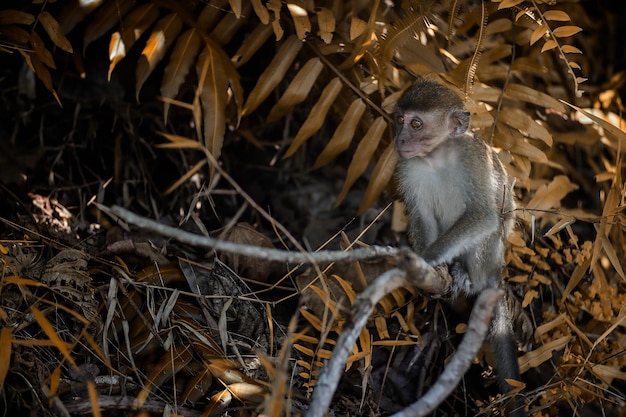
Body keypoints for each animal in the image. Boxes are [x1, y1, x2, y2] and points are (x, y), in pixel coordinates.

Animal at [392, 77, 524, 416]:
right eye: (400, 120)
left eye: (416, 123)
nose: (400, 138)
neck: (436, 155)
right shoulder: (408, 167)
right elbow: (422, 215)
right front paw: (432, 269)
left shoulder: (472, 159)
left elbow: (483, 215)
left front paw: (428, 259)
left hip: (492, 258)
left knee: (487, 231)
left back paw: (468, 277)